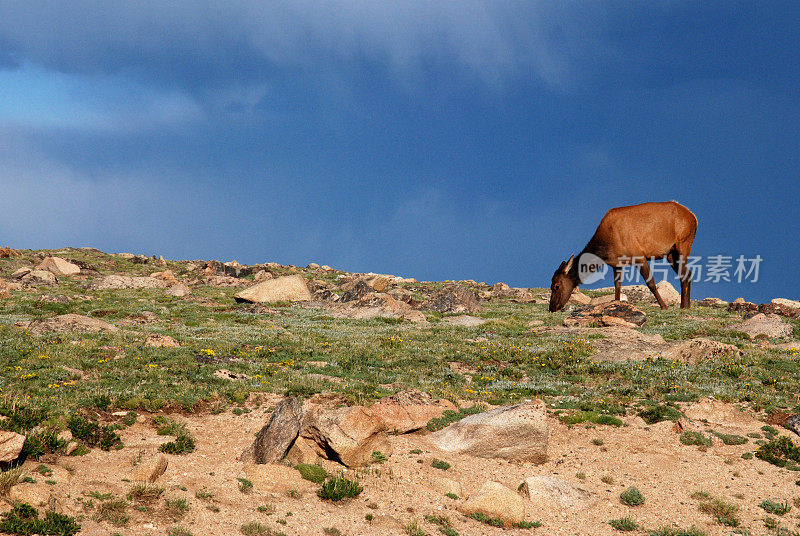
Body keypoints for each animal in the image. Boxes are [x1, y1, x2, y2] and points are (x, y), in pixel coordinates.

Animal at [552, 200, 692, 310]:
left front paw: (664, 306)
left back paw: (684, 305)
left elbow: (651, 282)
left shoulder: (638, 255)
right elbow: (617, 286)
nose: (552, 308)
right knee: (687, 273)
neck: (606, 245)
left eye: (556, 286)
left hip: (684, 243)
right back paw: (687, 305)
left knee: (685, 273)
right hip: (670, 253)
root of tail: (692, 216)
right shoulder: (617, 264)